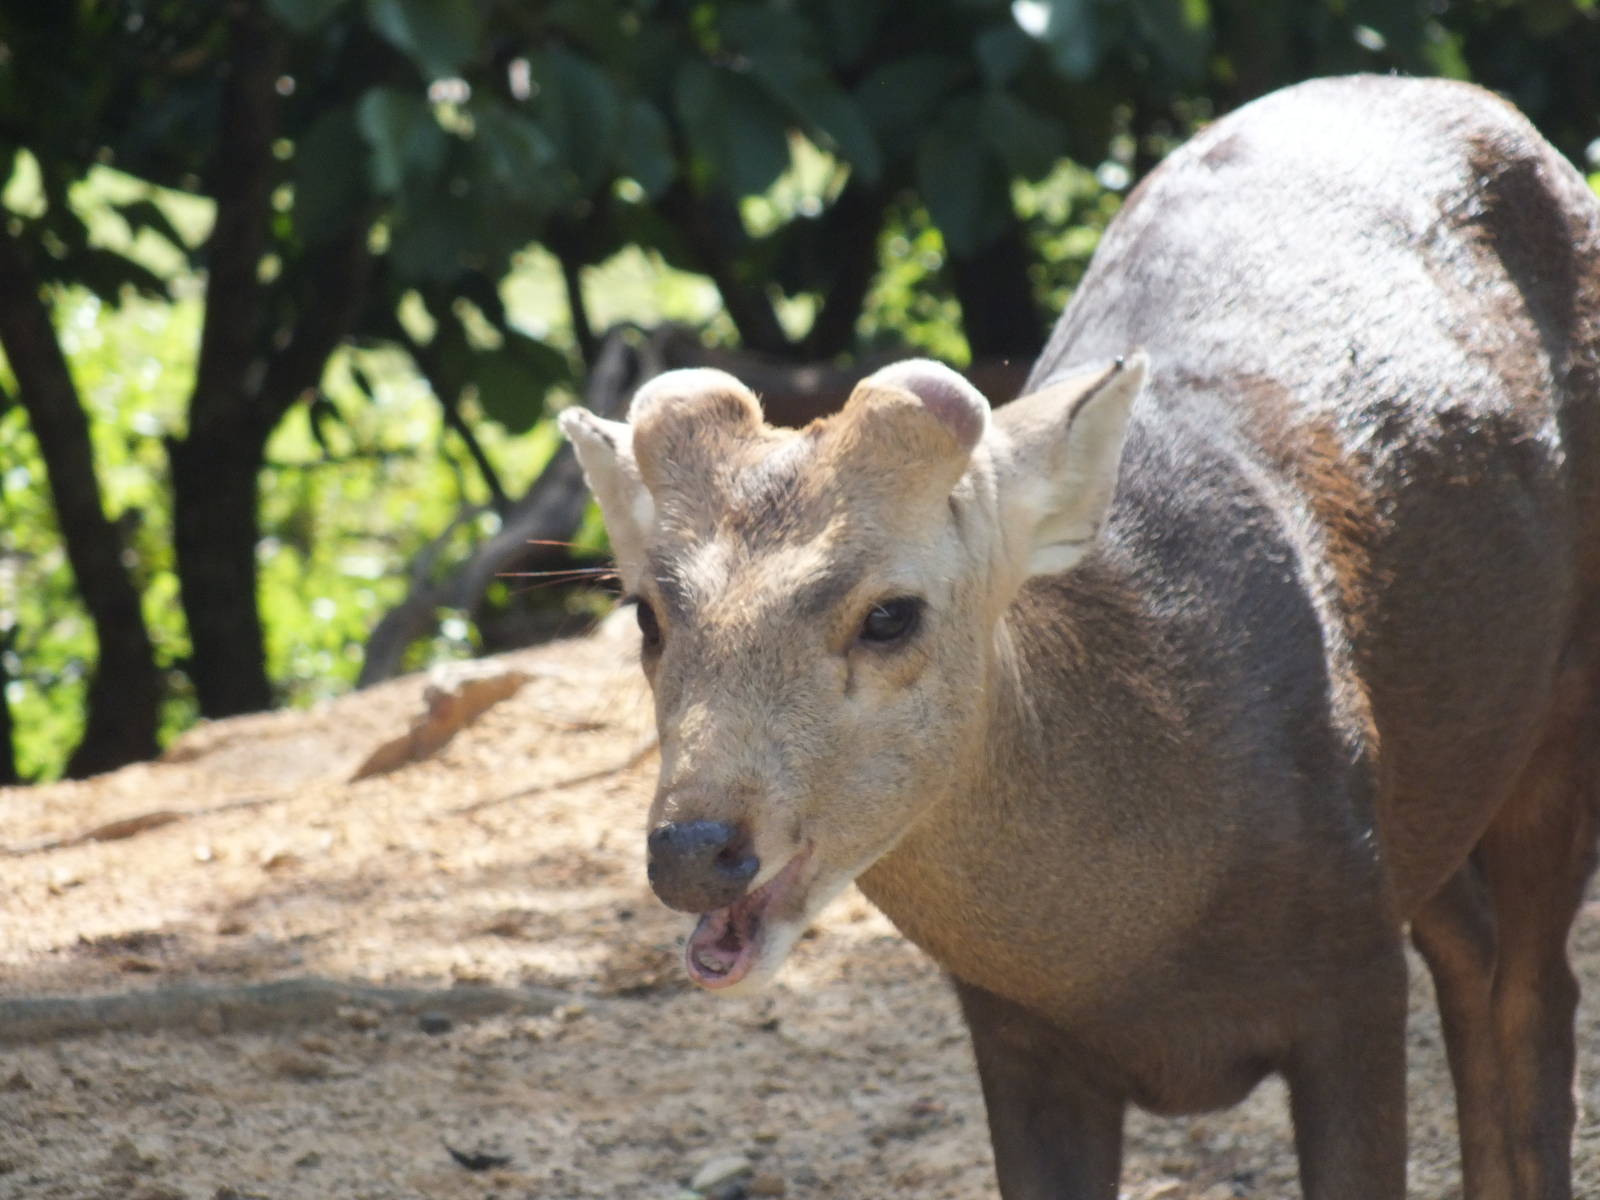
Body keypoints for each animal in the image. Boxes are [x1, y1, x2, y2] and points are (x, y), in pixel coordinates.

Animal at [560, 75, 1600, 1199]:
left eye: (890, 613)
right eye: (647, 611)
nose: (694, 849)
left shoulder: (1352, 974)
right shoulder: (1010, 1030)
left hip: (1564, 698)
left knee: (1536, 991)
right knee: (1475, 954)